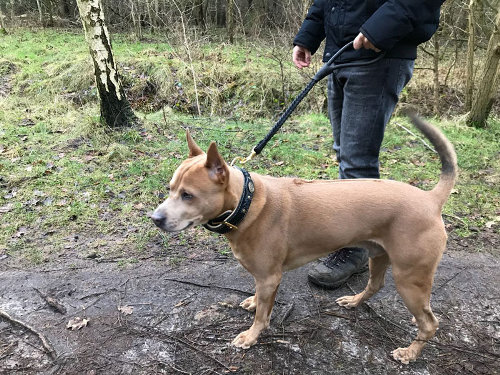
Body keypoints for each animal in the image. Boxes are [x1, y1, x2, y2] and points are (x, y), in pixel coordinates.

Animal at [151, 115, 458, 364]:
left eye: (188, 195)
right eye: (170, 188)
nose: (155, 218)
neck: (247, 203)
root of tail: (430, 199)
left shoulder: (269, 277)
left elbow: (262, 315)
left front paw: (252, 335)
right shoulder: (263, 278)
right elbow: (260, 299)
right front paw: (253, 302)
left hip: (410, 279)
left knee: (429, 323)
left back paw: (410, 352)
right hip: (379, 256)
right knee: (375, 285)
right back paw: (355, 301)